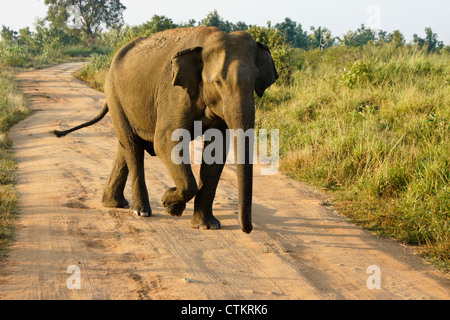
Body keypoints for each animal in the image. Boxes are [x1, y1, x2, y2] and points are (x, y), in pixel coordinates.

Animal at [52, 26, 278, 232]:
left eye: (255, 81)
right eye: (217, 82)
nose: (247, 229)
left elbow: (216, 150)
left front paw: (207, 225)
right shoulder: (174, 92)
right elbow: (165, 141)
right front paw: (170, 205)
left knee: (125, 146)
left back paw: (115, 203)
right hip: (114, 95)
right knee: (132, 147)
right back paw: (140, 211)